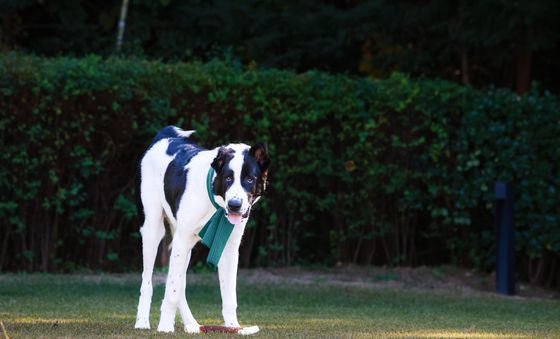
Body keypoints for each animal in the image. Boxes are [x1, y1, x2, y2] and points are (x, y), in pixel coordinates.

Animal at [133, 126, 270, 334]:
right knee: (147, 281)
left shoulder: (228, 249)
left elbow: (229, 296)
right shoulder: (181, 241)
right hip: (153, 230)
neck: (215, 202)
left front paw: (233, 327)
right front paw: (165, 326)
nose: (235, 205)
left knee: (179, 283)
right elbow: (171, 290)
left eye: (249, 179)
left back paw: (192, 324)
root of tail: (165, 136)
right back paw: (142, 321)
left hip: (183, 245)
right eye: (228, 178)